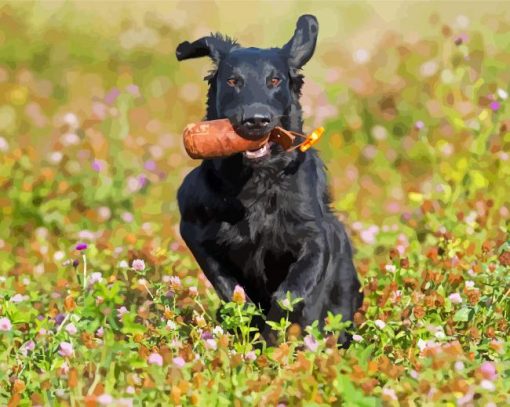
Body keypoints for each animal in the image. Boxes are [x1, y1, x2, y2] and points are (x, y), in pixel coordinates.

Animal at [175, 15, 362, 344]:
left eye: (274, 81)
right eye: (233, 81)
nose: (256, 120)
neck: (256, 180)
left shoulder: (316, 237)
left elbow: (290, 293)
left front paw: (275, 332)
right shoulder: (193, 228)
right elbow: (229, 287)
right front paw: (250, 323)